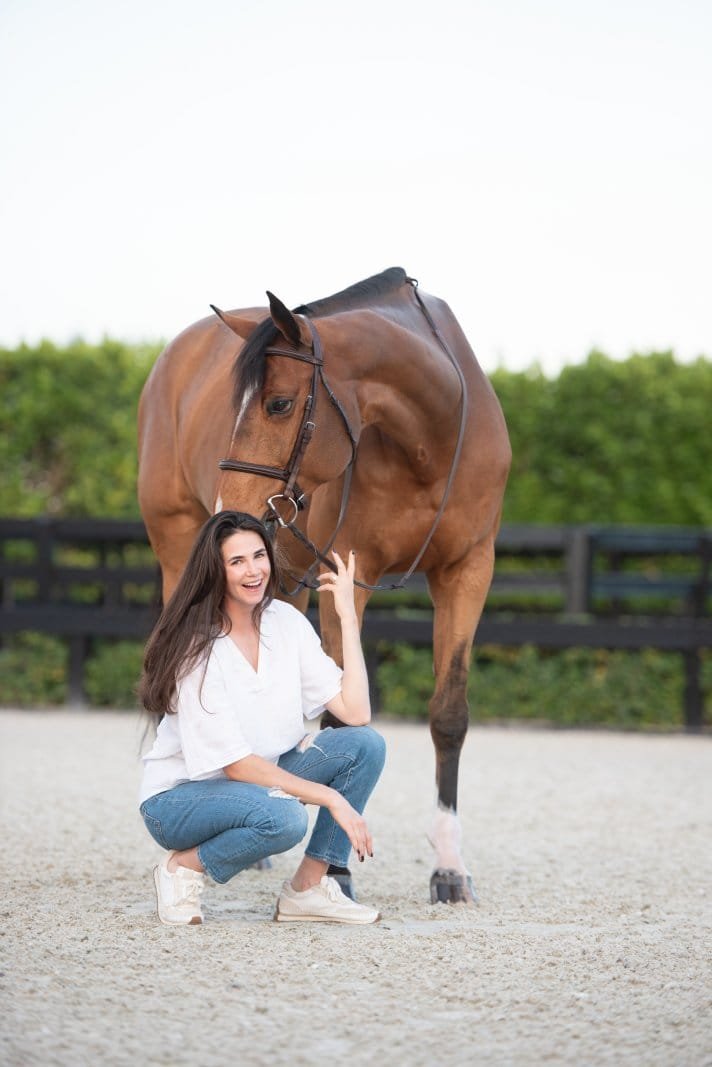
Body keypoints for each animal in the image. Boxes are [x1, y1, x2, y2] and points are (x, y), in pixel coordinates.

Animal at [137, 267, 511, 903]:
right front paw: (335, 870)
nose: (229, 512)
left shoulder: (467, 571)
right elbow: (342, 720)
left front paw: (449, 870)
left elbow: (449, 714)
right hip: (177, 551)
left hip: (283, 581)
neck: (428, 441)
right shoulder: (347, 578)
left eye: (279, 404)